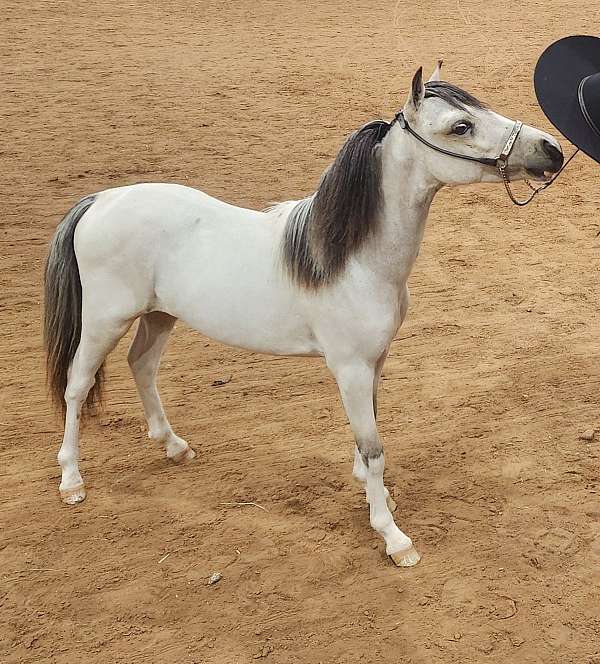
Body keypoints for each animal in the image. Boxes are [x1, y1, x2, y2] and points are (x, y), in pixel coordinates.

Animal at [44, 63, 564, 567]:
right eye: (461, 125)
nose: (552, 150)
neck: (356, 260)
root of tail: (100, 201)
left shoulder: (376, 362)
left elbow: (368, 438)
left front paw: (377, 497)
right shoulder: (351, 367)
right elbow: (373, 448)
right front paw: (393, 537)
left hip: (159, 315)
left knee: (142, 367)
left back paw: (175, 447)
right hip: (105, 321)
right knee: (77, 386)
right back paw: (71, 481)